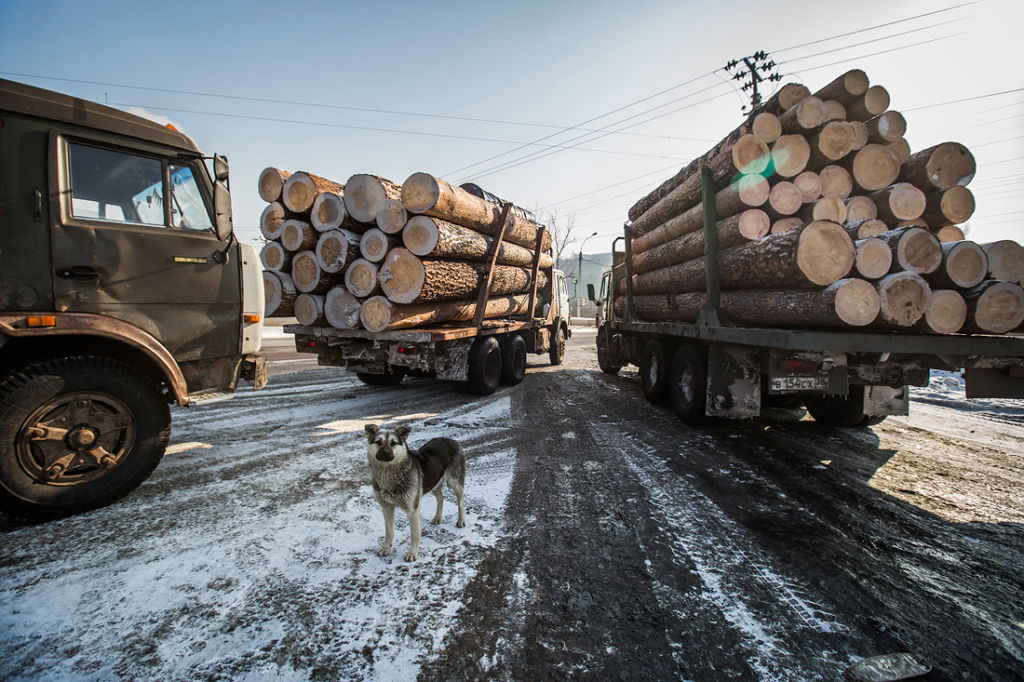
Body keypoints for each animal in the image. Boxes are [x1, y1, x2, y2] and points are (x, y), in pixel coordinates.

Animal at [364, 421, 468, 561]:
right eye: (378, 442)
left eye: (393, 443)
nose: (385, 452)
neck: (389, 474)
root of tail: (451, 440)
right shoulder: (386, 508)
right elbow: (389, 531)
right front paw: (386, 548)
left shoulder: (412, 509)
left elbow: (414, 534)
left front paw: (413, 553)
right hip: (431, 483)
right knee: (441, 497)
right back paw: (437, 517)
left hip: (454, 483)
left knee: (460, 500)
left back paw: (461, 520)